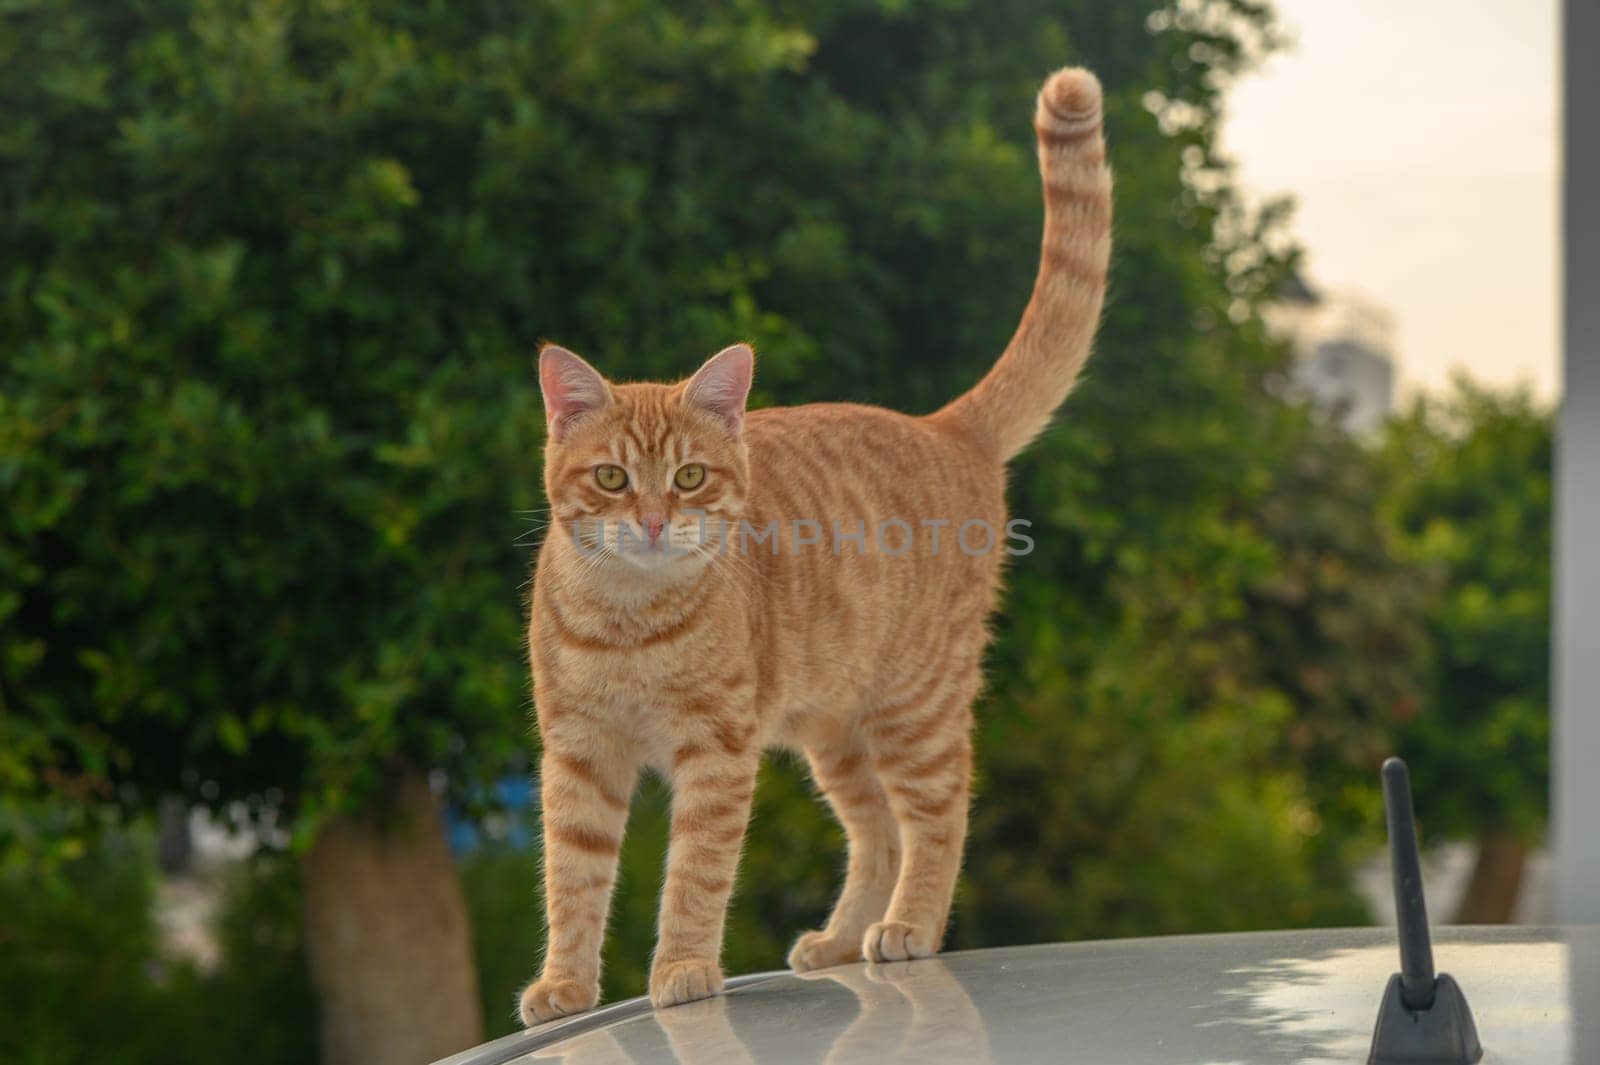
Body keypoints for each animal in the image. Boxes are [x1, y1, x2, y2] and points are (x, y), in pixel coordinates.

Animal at [524, 64, 1113, 1023]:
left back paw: (908, 927)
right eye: (612, 478)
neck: (631, 621)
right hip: (838, 732)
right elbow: (572, 881)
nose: (652, 521)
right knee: (876, 830)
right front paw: (567, 986)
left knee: (938, 817)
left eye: (690, 477)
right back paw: (840, 939)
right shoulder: (579, 756)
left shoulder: (715, 757)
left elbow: (693, 876)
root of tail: (945, 424)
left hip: (914, 710)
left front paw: (682, 971)